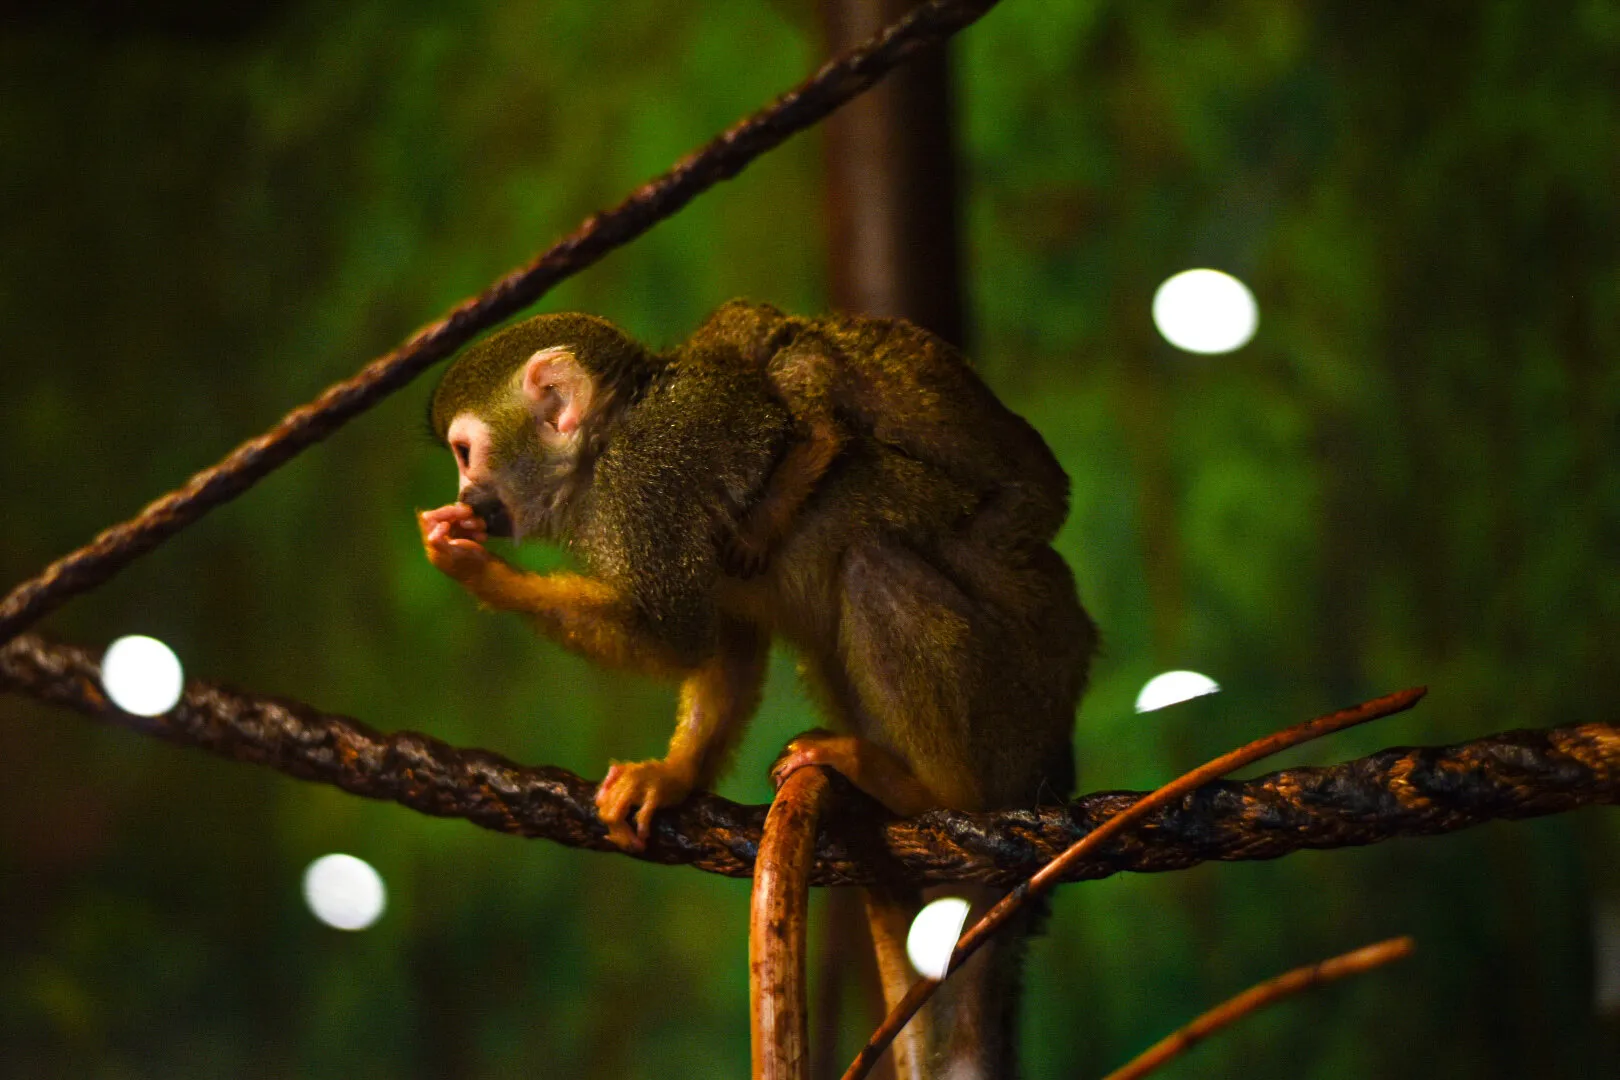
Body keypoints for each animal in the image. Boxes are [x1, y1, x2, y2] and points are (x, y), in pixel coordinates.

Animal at [420, 303, 1096, 1079]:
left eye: (465, 453)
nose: (467, 499)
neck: (604, 449)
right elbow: (728, 642)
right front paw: (672, 776)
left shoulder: (650, 485)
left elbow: (676, 633)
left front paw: (476, 570)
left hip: (1021, 689)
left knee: (873, 566)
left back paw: (933, 791)